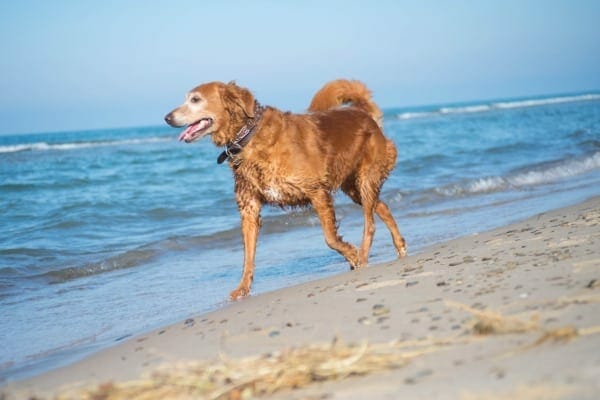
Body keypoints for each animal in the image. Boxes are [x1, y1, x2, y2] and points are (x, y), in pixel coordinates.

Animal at [166, 79, 406, 298]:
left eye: (195, 99)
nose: (167, 118)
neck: (247, 135)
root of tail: (365, 115)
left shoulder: (317, 191)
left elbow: (330, 238)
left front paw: (353, 255)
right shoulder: (249, 206)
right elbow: (247, 254)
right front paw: (243, 287)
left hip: (365, 178)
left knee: (370, 223)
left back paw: (364, 254)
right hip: (353, 186)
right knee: (382, 207)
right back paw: (400, 246)